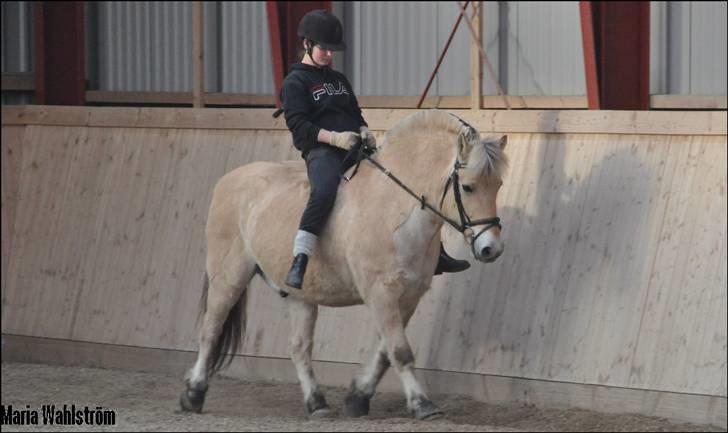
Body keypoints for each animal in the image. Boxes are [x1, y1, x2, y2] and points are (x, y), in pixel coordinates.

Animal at [180, 108, 510, 418]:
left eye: (498, 185)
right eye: (467, 187)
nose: (490, 249)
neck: (395, 208)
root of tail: (229, 179)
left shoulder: (409, 295)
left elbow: (385, 352)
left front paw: (357, 397)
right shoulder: (381, 292)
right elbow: (400, 351)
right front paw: (422, 403)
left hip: (299, 295)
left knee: (299, 348)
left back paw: (317, 404)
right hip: (229, 278)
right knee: (210, 332)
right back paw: (193, 395)